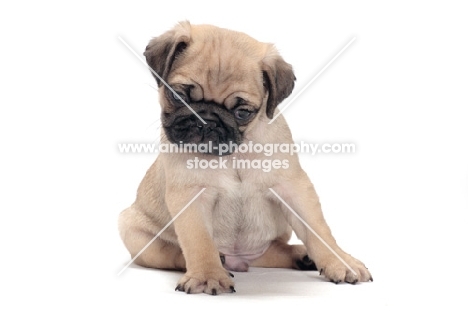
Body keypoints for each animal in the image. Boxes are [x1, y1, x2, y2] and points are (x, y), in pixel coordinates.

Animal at [119, 22, 372, 294]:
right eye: (178, 97)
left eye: (242, 112)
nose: (206, 120)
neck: (235, 154)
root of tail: (238, 260)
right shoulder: (191, 196)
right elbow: (198, 241)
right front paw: (207, 275)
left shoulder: (294, 189)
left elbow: (318, 230)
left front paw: (340, 261)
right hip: (132, 230)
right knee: (170, 253)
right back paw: (216, 261)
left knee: (274, 251)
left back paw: (302, 256)